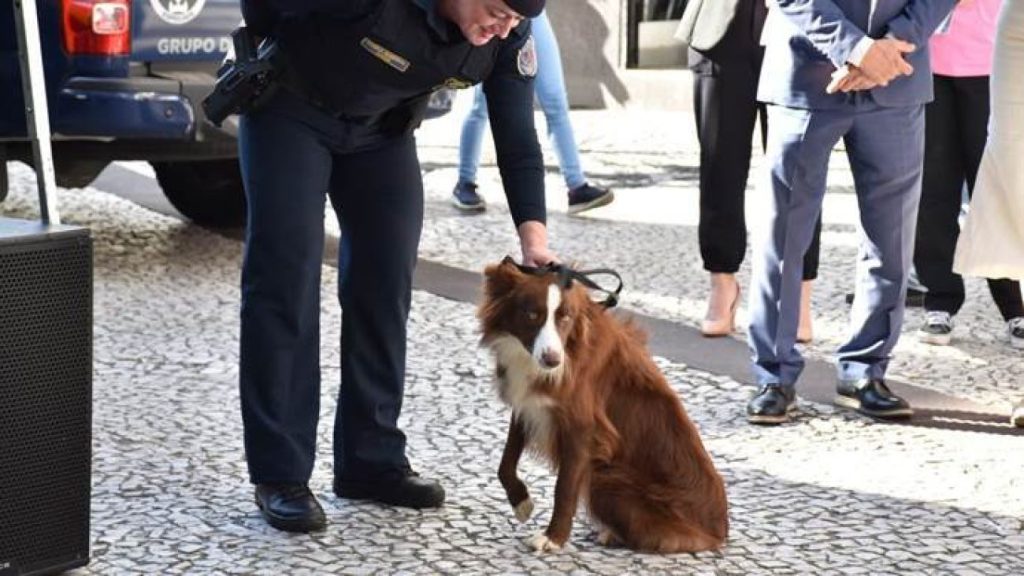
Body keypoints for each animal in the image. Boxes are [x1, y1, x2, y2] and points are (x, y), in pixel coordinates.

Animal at [477, 259, 729, 553]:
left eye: (565, 317)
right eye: (531, 314)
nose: (552, 360)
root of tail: (719, 533)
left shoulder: (582, 427)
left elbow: (564, 487)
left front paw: (553, 538)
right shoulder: (529, 403)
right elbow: (506, 460)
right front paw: (521, 502)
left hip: (607, 478)